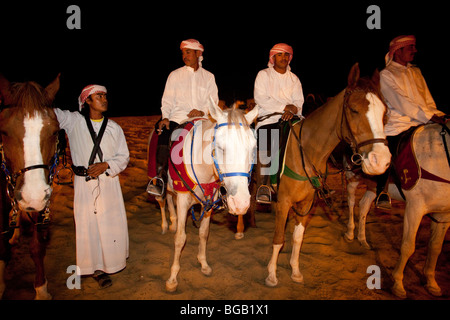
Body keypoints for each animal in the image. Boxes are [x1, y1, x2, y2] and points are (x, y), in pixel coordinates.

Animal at [165, 100, 258, 292]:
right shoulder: (183, 200)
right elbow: (180, 238)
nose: (240, 203)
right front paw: (172, 278)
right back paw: (170, 222)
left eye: (253, 148)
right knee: (165, 199)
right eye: (221, 148)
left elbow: (203, 233)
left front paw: (203, 264)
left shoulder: (208, 202)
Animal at [266, 63, 392, 288]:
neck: (306, 150)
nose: (380, 161)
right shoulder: (285, 201)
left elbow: (297, 237)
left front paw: (295, 271)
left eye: (384, 112)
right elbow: (279, 239)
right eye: (354, 110)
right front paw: (272, 275)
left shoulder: (306, 203)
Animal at [342, 122, 450, 298]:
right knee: (351, 201)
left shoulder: (443, 214)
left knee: (364, 205)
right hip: (352, 176)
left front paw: (431, 282)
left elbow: (435, 247)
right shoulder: (415, 207)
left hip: (374, 186)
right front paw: (398, 283)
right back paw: (350, 233)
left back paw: (363, 239)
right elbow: (408, 246)